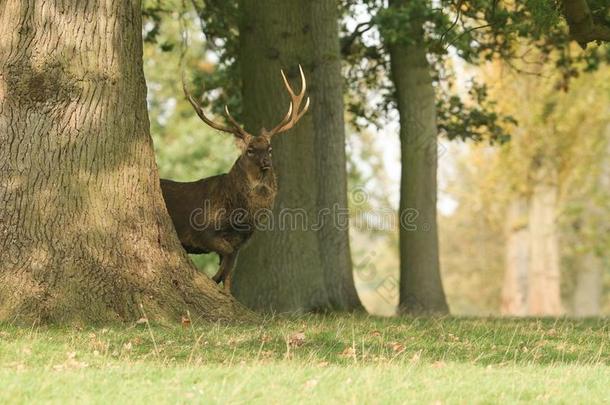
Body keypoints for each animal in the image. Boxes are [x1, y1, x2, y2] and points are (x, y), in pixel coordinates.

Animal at [160, 64, 308, 292]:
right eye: (250, 150)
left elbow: (230, 273)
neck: (240, 218)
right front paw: (212, 280)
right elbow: (227, 260)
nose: (266, 162)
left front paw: (225, 292)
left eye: (270, 148)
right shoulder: (201, 231)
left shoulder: (241, 243)